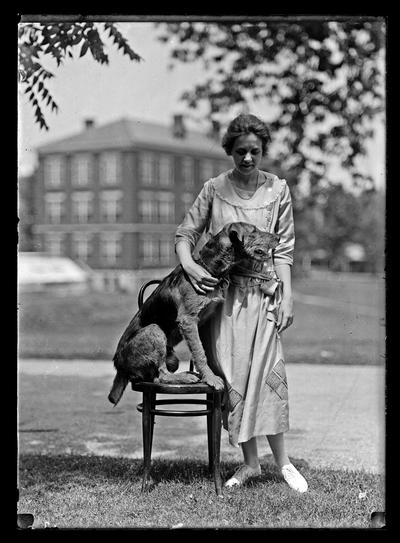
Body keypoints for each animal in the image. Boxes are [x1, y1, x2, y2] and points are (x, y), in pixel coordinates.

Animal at [108, 223, 280, 406]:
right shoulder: (188, 320)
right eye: (253, 231)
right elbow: (200, 352)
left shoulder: (201, 321)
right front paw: (212, 379)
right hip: (153, 330)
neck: (208, 268)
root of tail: (120, 367)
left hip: (171, 358)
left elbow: (200, 350)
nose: (279, 237)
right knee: (160, 376)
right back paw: (186, 377)